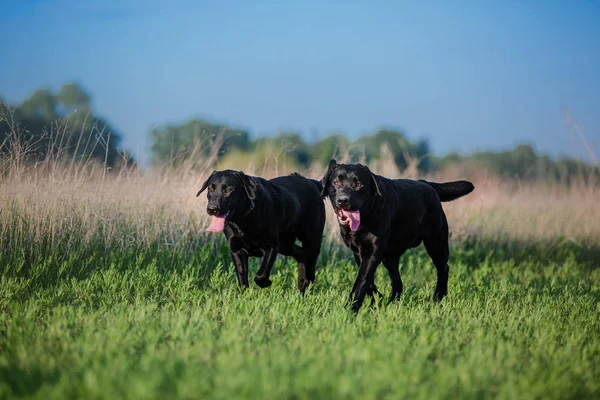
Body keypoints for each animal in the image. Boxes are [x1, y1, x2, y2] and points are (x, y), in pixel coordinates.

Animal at [197, 170, 326, 292]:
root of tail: (312, 182)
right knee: (301, 254)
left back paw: (306, 285)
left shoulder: (272, 245)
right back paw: (301, 283)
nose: (212, 209)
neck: (243, 219)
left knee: (310, 266)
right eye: (210, 188)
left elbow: (260, 275)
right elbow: (242, 278)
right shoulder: (236, 250)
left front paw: (266, 282)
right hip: (286, 245)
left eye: (228, 190)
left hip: (311, 241)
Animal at [322, 159, 476, 312]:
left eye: (358, 184)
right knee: (398, 282)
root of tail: (426, 183)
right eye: (336, 182)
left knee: (443, 268)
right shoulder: (359, 252)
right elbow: (368, 280)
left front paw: (351, 308)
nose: (343, 200)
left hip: (436, 242)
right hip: (390, 256)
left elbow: (362, 280)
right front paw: (378, 299)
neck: (366, 216)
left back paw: (438, 297)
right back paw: (392, 302)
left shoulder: (372, 252)